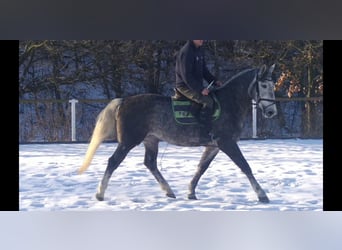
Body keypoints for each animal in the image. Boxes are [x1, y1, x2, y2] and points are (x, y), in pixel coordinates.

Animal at [79, 64, 276, 203]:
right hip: (129, 141)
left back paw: (169, 191)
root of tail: (124, 100)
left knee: (150, 163)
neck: (229, 103)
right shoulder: (226, 143)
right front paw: (262, 195)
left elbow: (201, 168)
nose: (271, 112)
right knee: (113, 161)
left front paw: (190, 192)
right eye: (264, 85)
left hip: (151, 140)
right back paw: (100, 193)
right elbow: (245, 166)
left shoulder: (214, 146)